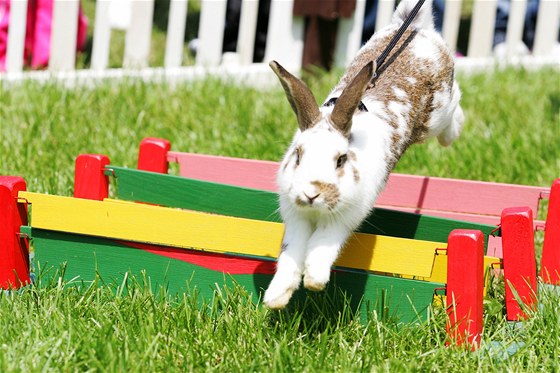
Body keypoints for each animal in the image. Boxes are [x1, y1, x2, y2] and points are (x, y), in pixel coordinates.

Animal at [262, 0, 464, 308]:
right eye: (298, 155)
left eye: (341, 160)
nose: (311, 192)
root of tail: (416, 28)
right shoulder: (296, 219)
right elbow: (291, 254)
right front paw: (276, 297)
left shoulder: (343, 218)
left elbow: (322, 246)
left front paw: (315, 281)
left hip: (439, 113)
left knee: (456, 107)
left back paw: (453, 133)